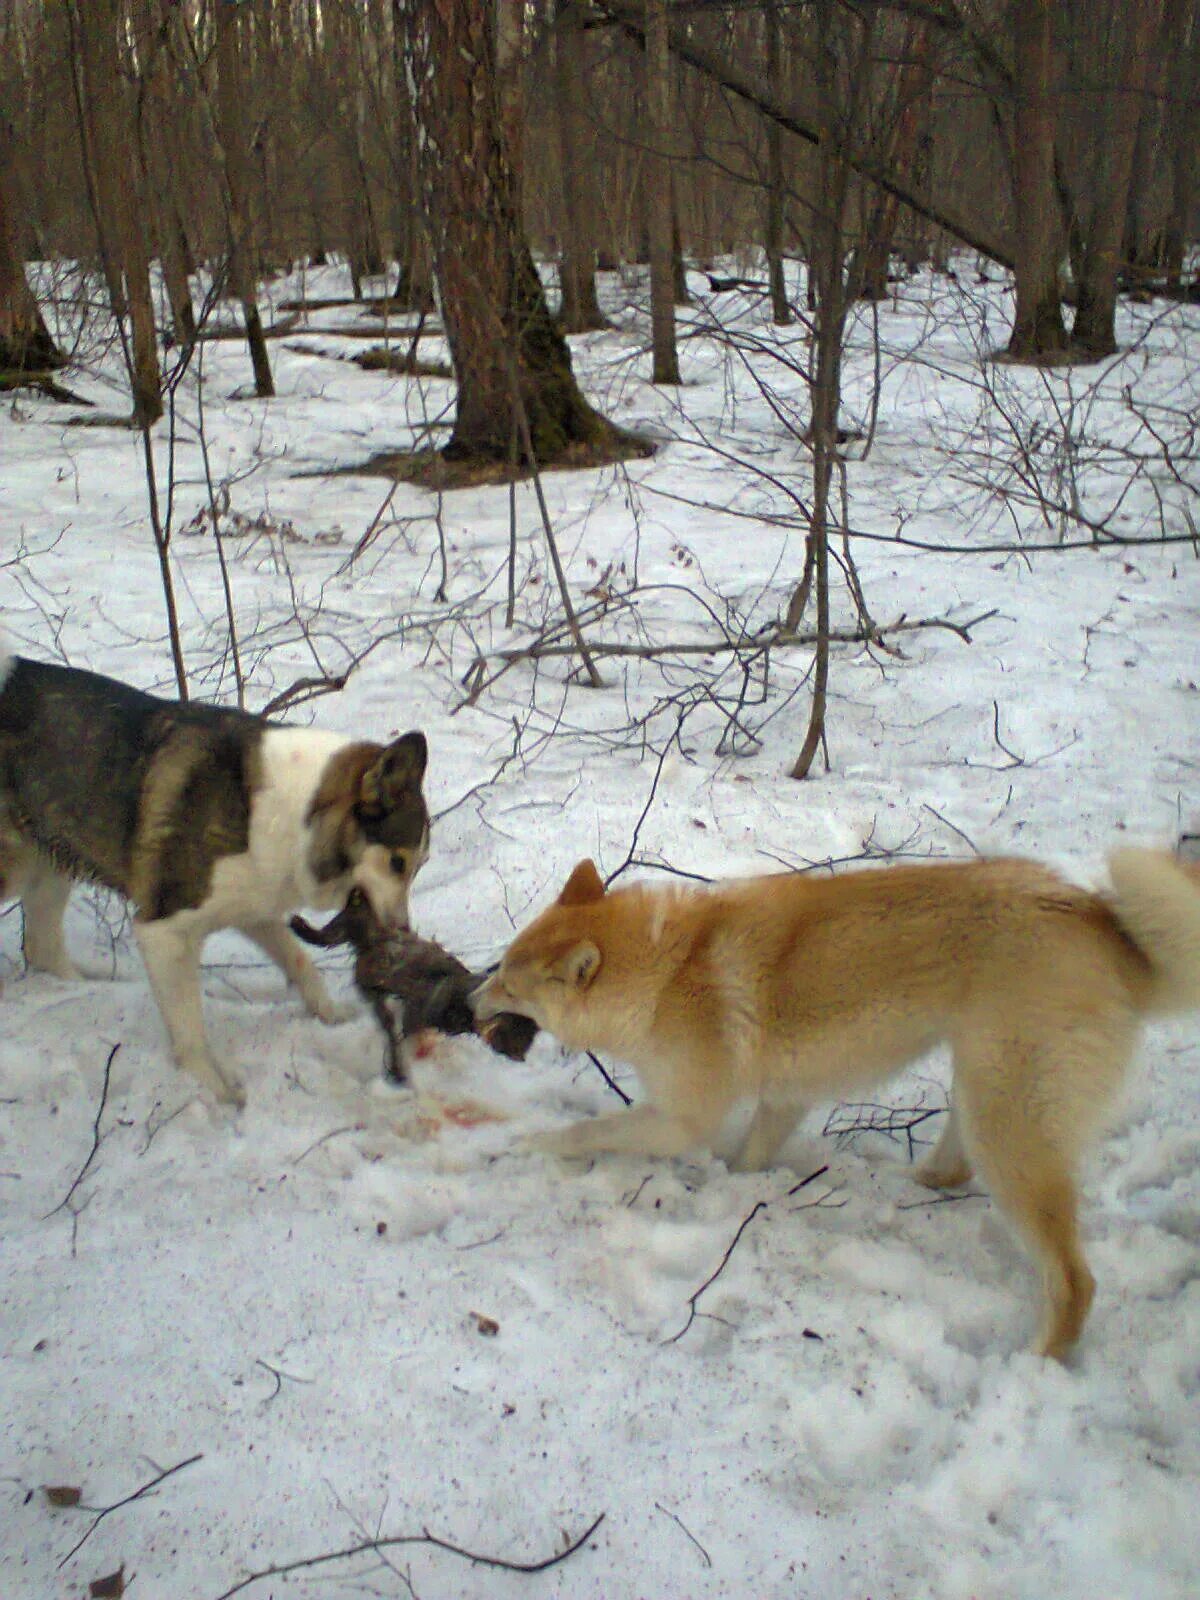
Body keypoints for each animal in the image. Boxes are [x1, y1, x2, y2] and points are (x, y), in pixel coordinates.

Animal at [0, 633, 432, 1100]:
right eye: (398, 863)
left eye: (420, 866)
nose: (402, 934)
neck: (288, 814)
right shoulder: (164, 932)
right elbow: (190, 1032)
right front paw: (215, 1093)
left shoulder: (254, 909)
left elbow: (301, 963)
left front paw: (330, 1014)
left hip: (50, 863)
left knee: (42, 947)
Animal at [476, 844, 1200, 1356]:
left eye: (508, 981)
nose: (467, 1002)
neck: (665, 971)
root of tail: (1093, 916)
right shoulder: (783, 1097)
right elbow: (747, 1159)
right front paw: (744, 1189)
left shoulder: (684, 1119)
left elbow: (589, 1131)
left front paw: (527, 1143)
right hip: (983, 1086)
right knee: (962, 1161)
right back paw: (928, 1178)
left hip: (1013, 1124)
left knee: (1076, 1282)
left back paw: (1036, 1363)